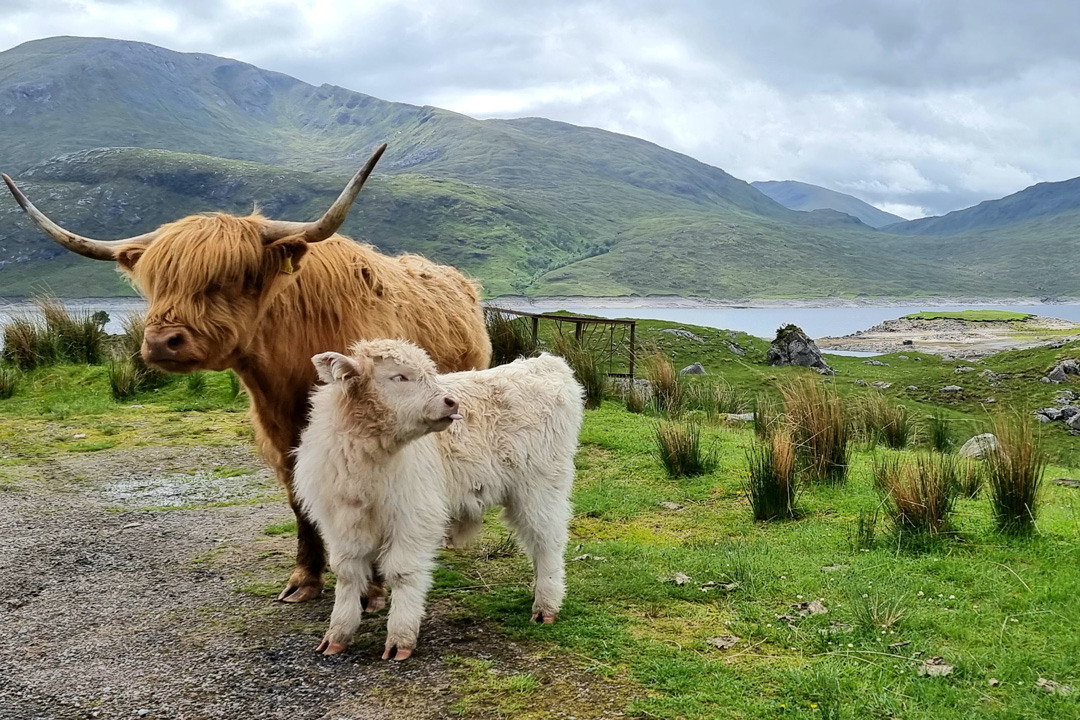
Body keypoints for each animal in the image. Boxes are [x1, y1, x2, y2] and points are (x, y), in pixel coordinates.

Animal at [3, 144, 494, 604]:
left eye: (232, 276)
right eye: (157, 281)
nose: (161, 341)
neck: (292, 366)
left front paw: (369, 589)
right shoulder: (281, 434)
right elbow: (299, 500)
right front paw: (304, 578)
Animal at [293, 341, 583, 660]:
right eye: (399, 376)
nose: (452, 402)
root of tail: (543, 363)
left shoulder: (414, 517)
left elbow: (402, 572)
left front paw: (400, 638)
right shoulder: (340, 522)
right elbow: (346, 574)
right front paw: (337, 634)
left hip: (540, 488)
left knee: (546, 542)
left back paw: (546, 605)